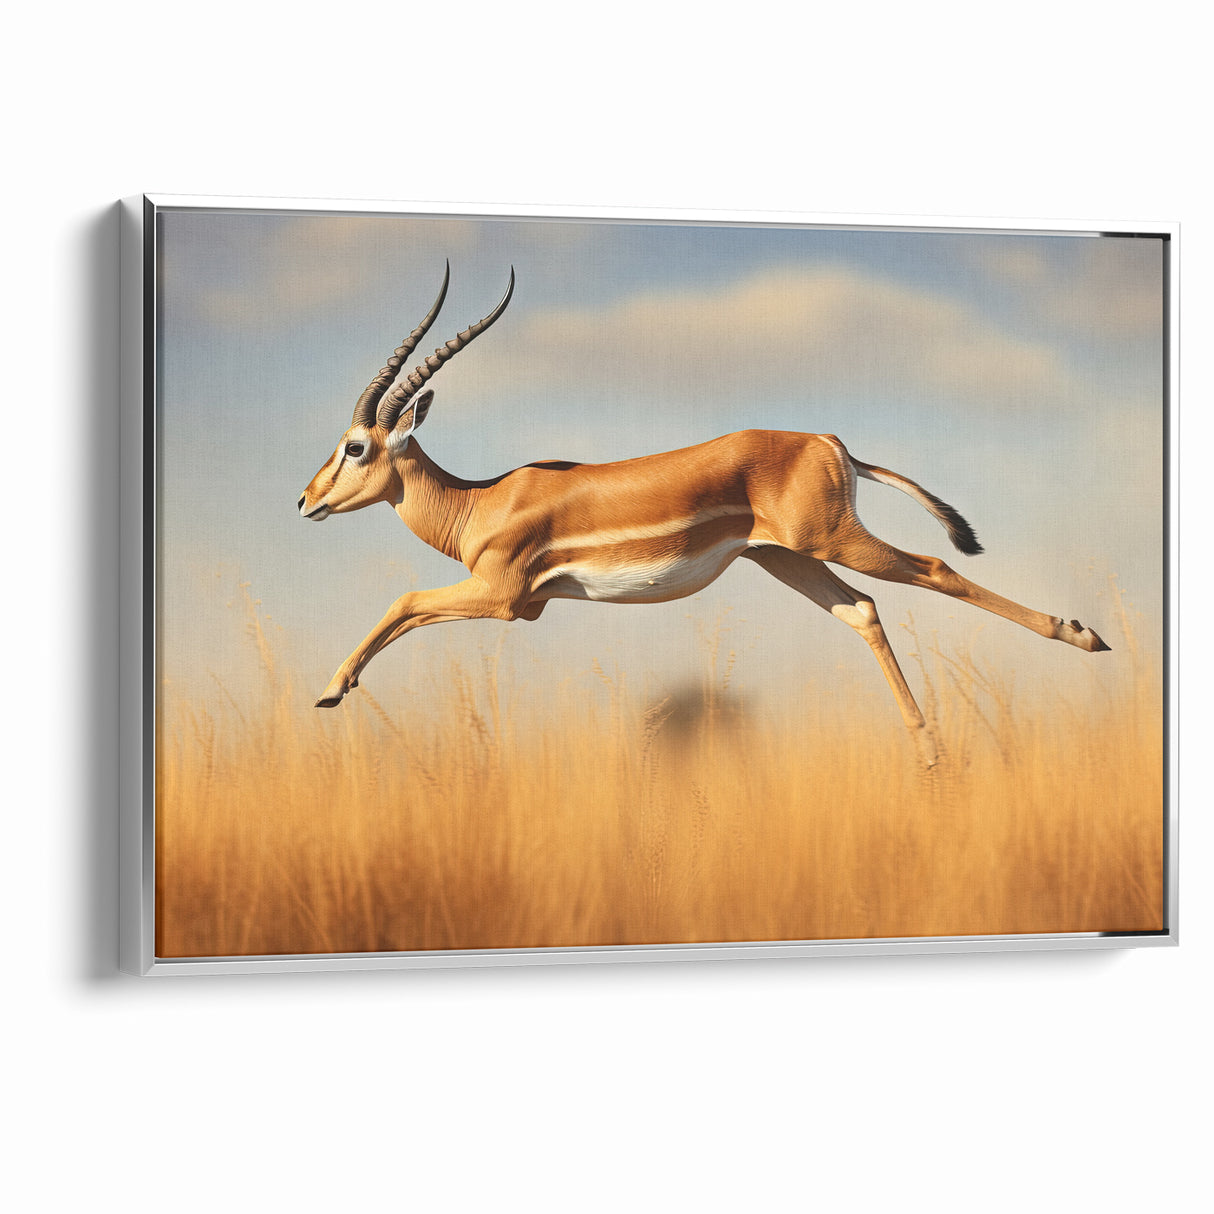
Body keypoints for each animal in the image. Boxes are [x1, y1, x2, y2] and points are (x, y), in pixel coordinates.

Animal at [298, 265, 1110, 766]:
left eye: (356, 445)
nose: (306, 500)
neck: (479, 503)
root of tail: (828, 441)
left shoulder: (503, 599)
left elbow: (403, 599)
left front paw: (331, 690)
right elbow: (407, 607)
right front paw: (335, 688)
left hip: (831, 540)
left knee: (936, 567)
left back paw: (1084, 635)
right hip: (784, 558)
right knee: (863, 612)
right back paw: (931, 754)